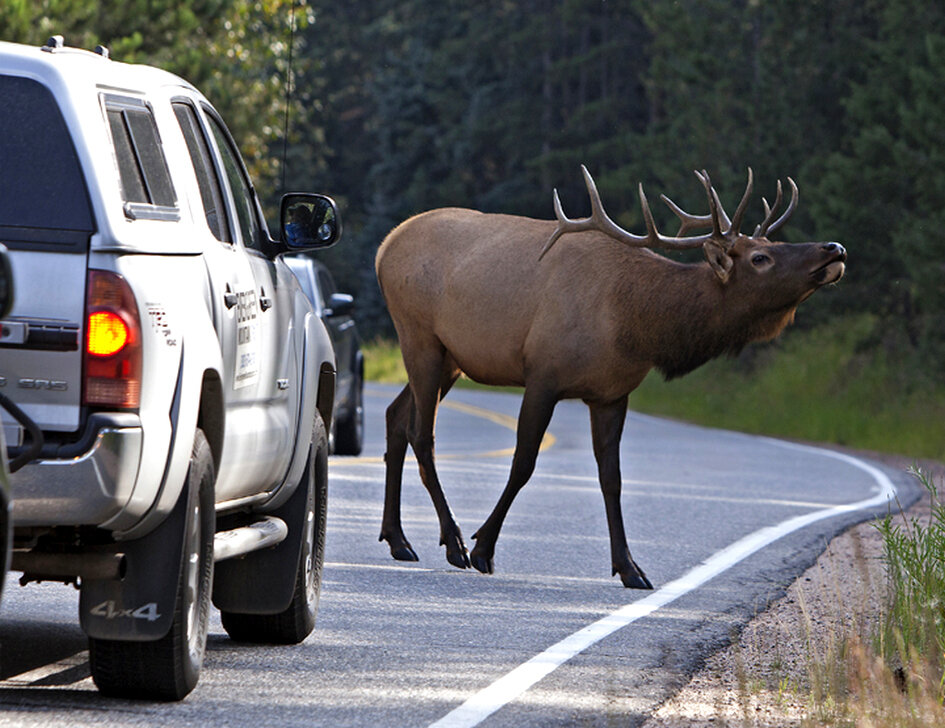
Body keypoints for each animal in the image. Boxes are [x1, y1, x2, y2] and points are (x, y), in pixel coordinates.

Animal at [372, 168, 844, 588]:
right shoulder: (542, 374)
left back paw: (398, 539)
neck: (636, 324)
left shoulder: (612, 393)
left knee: (395, 416)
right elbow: (523, 463)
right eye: (761, 258)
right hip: (419, 336)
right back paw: (452, 543)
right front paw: (483, 547)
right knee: (422, 433)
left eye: (770, 242)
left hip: (452, 358)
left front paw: (630, 568)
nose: (835, 248)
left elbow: (611, 479)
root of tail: (384, 245)